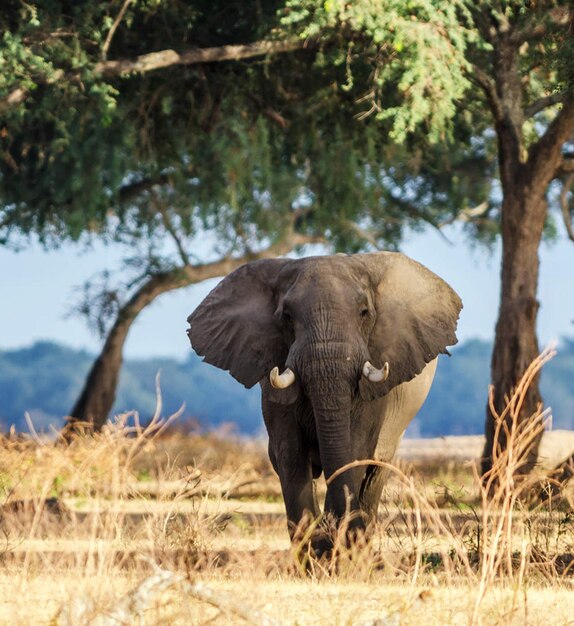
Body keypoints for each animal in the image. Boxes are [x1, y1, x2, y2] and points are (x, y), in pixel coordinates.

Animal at [189, 250, 464, 552]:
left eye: (364, 312)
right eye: (286, 316)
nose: (336, 529)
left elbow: (354, 449)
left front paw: (338, 545)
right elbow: (291, 454)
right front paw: (316, 549)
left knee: (376, 471)